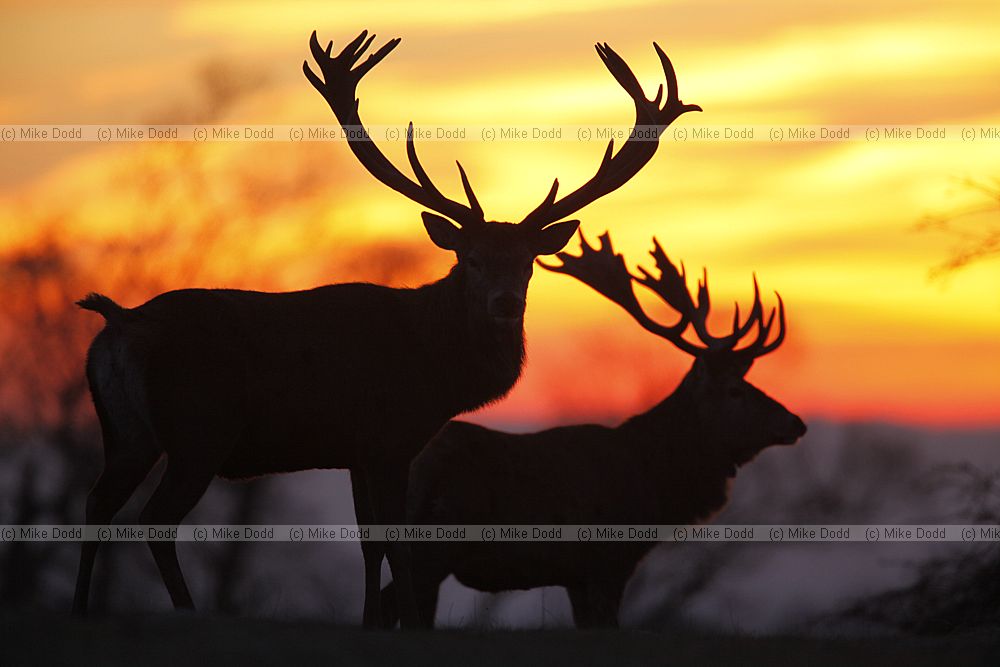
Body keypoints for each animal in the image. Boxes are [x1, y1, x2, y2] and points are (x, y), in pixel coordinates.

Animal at [71, 30, 701, 626]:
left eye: (526, 262)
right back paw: (187, 612)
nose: (503, 303)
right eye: (471, 258)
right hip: (199, 428)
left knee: (96, 505)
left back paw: (84, 607)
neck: (434, 371)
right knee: (154, 519)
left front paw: (373, 622)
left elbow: (369, 544)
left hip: (127, 433)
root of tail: (118, 323)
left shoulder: (355, 449)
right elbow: (396, 543)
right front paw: (411, 625)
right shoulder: (389, 436)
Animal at [380, 231, 807, 628]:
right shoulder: (607, 561)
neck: (656, 485)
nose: (796, 423)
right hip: (436, 543)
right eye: (736, 390)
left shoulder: (576, 577)